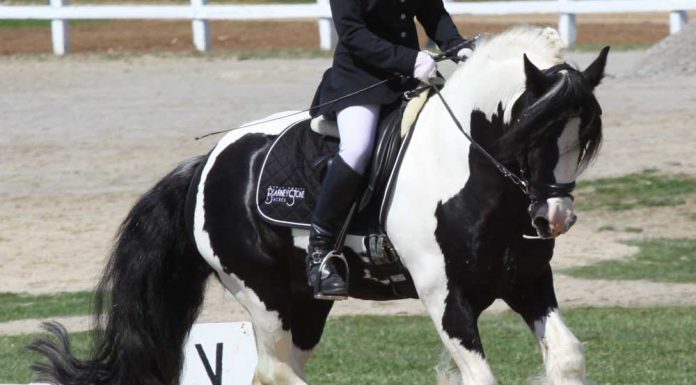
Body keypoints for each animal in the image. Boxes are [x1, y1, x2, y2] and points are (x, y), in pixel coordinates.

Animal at [31, 27, 608, 384]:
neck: (468, 173)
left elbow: (567, 357)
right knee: (277, 371)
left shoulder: (529, 284)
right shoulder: (446, 297)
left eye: (582, 139)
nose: (554, 218)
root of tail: (207, 164)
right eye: (535, 131)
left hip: (306, 304)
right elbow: (480, 373)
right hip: (265, 298)